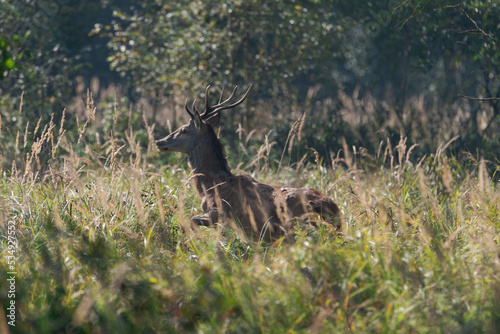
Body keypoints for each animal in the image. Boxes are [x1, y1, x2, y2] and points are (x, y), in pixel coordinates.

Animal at [157, 85, 340, 239]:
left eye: (184, 130)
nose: (160, 142)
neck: (210, 187)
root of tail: (334, 208)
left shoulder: (219, 212)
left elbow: (193, 220)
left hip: (298, 217)